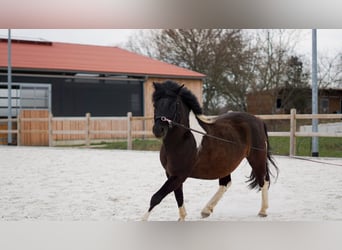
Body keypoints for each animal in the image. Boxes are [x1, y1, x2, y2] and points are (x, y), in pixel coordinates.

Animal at [142, 80, 278, 221]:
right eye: (155, 104)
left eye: (174, 104)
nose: (158, 130)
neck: (182, 139)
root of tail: (258, 120)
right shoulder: (170, 173)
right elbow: (178, 196)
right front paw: (182, 217)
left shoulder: (179, 175)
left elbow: (156, 197)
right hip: (225, 164)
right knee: (226, 183)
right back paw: (206, 210)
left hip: (256, 157)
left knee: (263, 180)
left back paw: (263, 211)